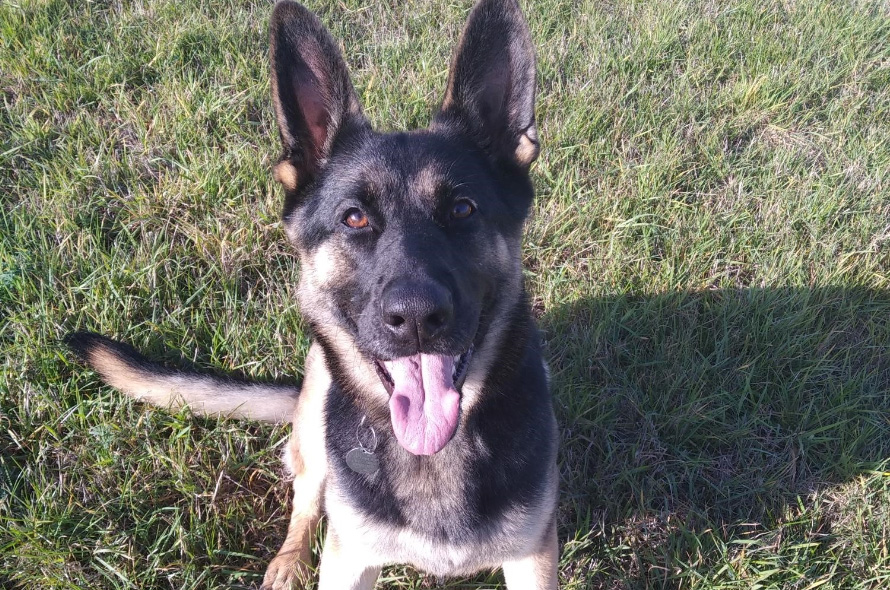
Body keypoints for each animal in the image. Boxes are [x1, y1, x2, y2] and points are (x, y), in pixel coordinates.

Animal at [66, 0, 560, 588]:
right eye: (354, 218)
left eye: (462, 209)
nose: (416, 318)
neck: (434, 449)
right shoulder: (352, 559)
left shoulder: (532, 559)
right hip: (318, 418)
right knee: (307, 498)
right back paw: (288, 559)